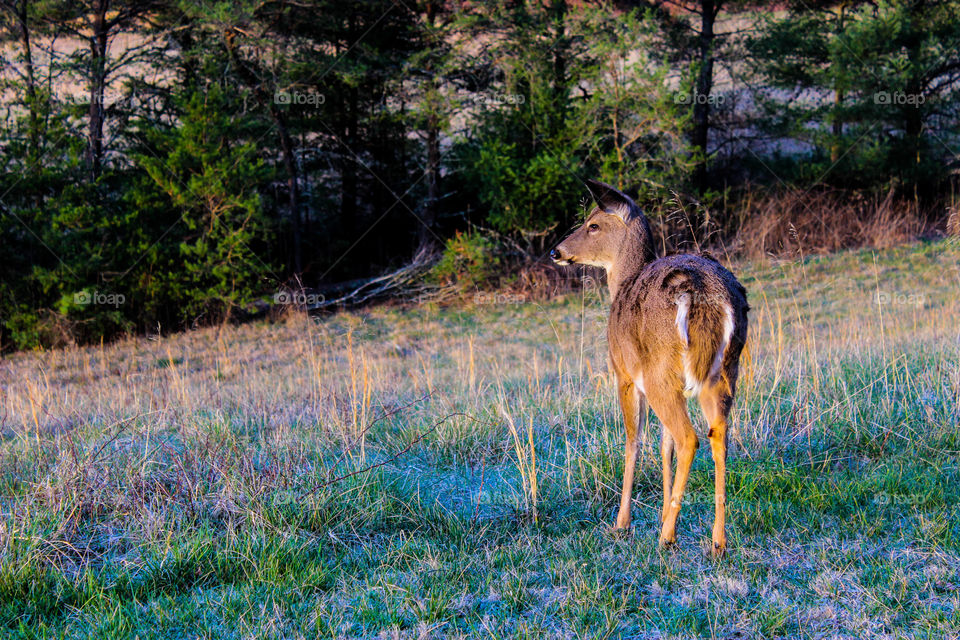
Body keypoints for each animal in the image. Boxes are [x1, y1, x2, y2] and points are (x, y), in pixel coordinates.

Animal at [548, 179, 752, 556]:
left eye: (593, 225)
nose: (557, 251)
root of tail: (708, 298)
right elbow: (663, 444)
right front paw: (663, 513)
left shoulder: (624, 373)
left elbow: (634, 440)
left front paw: (622, 523)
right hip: (724, 370)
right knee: (717, 434)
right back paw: (717, 540)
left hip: (660, 370)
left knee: (689, 437)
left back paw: (667, 537)